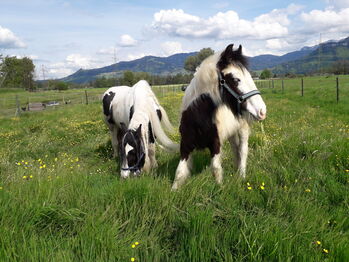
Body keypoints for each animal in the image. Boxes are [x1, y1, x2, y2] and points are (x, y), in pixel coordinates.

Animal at [172, 44, 266, 189]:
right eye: (236, 79)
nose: (262, 111)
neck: (197, 117)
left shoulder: (215, 145)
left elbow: (216, 169)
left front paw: (219, 189)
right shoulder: (185, 145)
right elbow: (179, 173)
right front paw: (174, 190)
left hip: (243, 129)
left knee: (243, 150)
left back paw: (241, 176)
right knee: (235, 149)